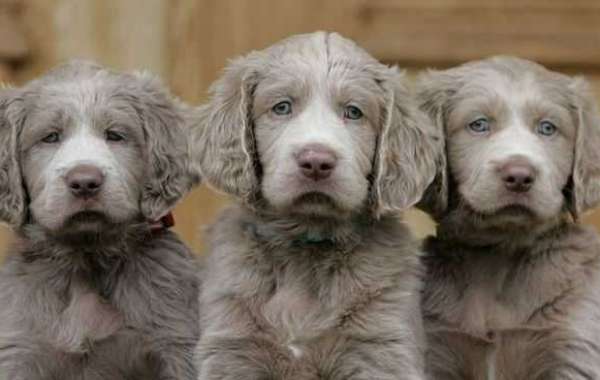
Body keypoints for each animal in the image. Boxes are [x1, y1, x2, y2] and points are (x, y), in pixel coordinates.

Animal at [0, 62, 202, 380]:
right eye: (51, 137)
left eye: (115, 135)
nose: (84, 182)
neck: (86, 257)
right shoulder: (18, 348)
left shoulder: (177, 344)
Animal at [192, 32, 440, 380]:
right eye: (282, 107)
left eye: (353, 112)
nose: (316, 161)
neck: (306, 244)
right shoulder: (231, 347)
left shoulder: (380, 345)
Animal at [418, 56, 600, 380]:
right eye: (479, 125)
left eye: (547, 128)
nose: (519, 176)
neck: (500, 252)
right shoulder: (436, 346)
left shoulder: (573, 345)